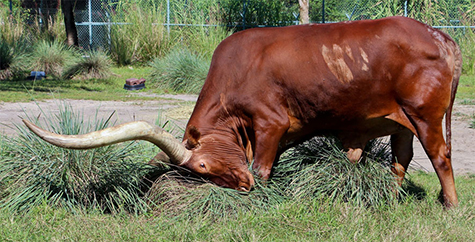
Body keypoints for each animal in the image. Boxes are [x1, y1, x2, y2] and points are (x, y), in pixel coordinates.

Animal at [23, 16, 462, 206]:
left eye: (201, 167)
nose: (241, 186)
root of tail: (439, 35)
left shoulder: (270, 124)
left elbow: (264, 168)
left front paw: (262, 191)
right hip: (400, 121)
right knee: (401, 160)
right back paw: (391, 196)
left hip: (425, 116)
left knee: (440, 156)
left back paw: (451, 205)